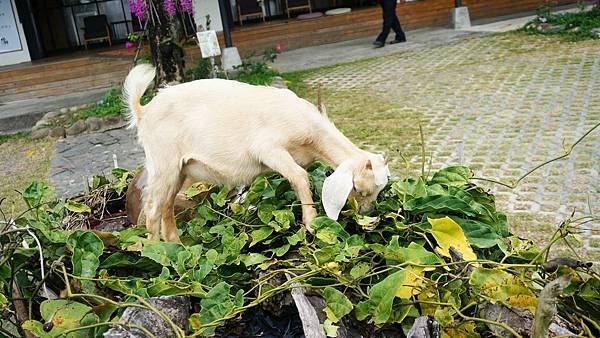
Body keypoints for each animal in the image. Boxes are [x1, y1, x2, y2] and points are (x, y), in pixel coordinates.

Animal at [124, 64, 392, 243]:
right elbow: (299, 177)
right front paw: (311, 222)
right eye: (359, 190)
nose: (368, 215)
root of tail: (143, 111)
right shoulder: (268, 149)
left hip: (180, 170)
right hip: (164, 162)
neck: (312, 136)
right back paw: (156, 253)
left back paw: (175, 247)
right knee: (152, 210)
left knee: (166, 207)